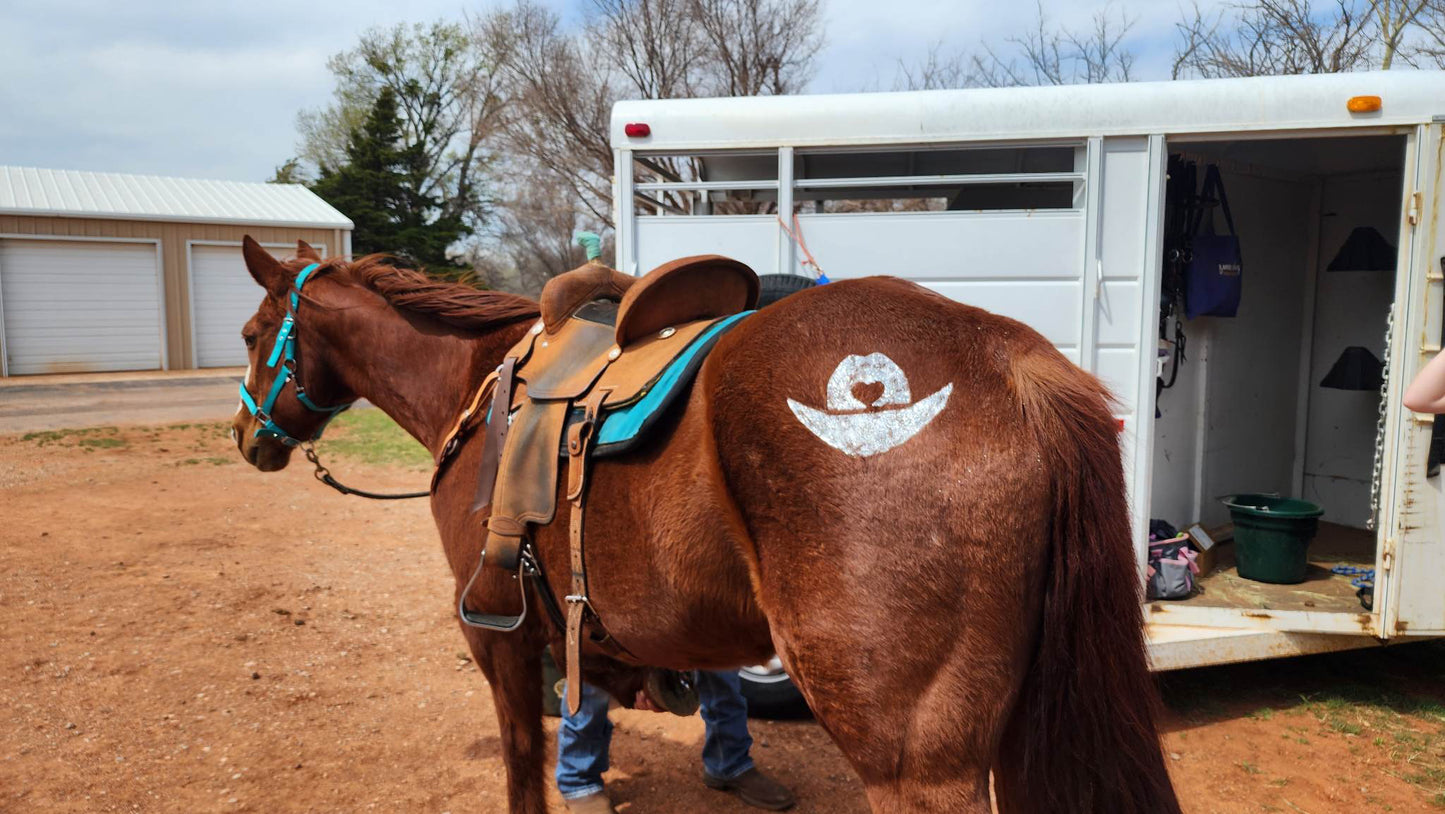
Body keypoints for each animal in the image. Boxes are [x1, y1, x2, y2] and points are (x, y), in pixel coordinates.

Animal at [231, 237, 1179, 814]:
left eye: (248, 332)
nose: (246, 437)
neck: (476, 382)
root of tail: (1010, 361)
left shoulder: (496, 636)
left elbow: (524, 764)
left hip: (914, 758)